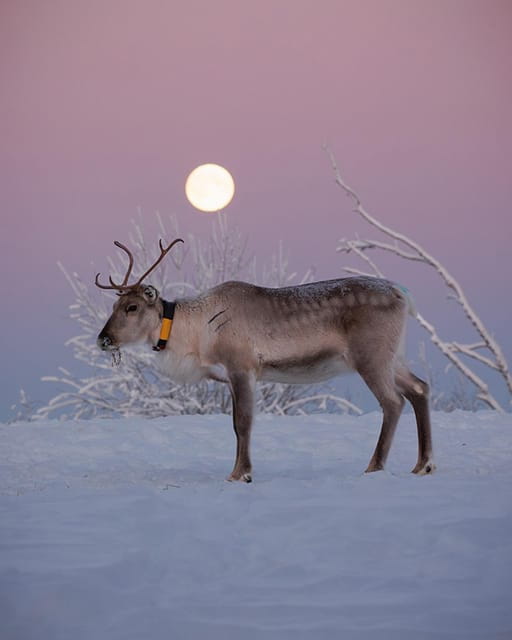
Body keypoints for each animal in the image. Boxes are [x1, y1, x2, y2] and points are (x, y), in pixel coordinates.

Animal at [96, 238, 435, 482]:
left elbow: (243, 422)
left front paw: (240, 473)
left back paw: (374, 467)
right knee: (420, 388)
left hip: (371, 357)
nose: (103, 339)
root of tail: (404, 295)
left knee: (393, 402)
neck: (196, 336)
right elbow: (235, 424)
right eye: (113, 304)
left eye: (132, 307)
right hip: (393, 357)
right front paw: (239, 470)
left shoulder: (242, 366)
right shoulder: (229, 375)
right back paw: (423, 464)